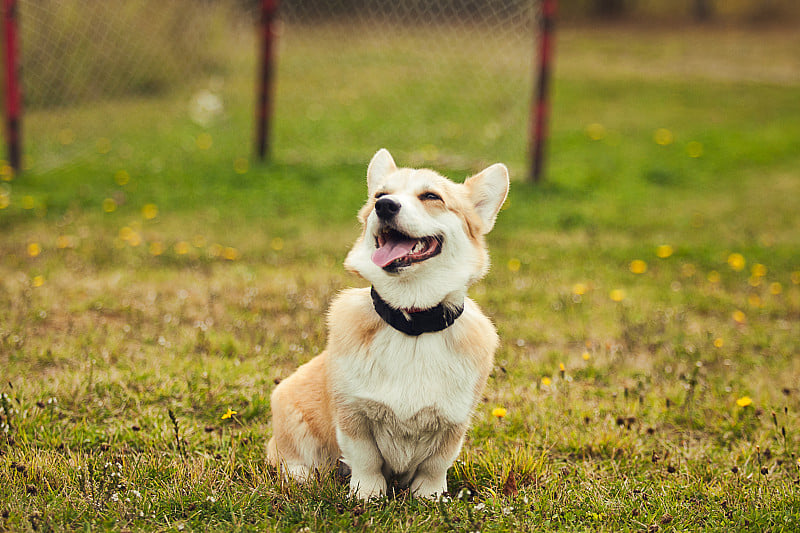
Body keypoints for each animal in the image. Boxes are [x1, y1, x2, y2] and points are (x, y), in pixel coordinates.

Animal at [268, 149, 506, 498]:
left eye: (431, 196)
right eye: (380, 195)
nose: (385, 206)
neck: (413, 323)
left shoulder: (453, 423)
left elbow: (435, 465)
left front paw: (429, 498)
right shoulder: (353, 415)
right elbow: (366, 460)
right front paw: (367, 495)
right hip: (289, 404)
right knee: (290, 458)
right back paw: (304, 475)